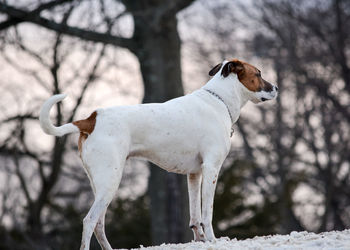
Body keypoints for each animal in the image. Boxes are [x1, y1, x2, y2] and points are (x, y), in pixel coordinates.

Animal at [39, 59, 278, 250]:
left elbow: (195, 215)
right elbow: (207, 213)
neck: (218, 100)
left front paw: (200, 239)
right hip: (110, 182)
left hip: (100, 185)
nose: (276, 87)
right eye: (258, 74)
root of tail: (91, 119)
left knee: (99, 224)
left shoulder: (195, 174)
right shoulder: (211, 169)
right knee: (89, 221)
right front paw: (211, 240)